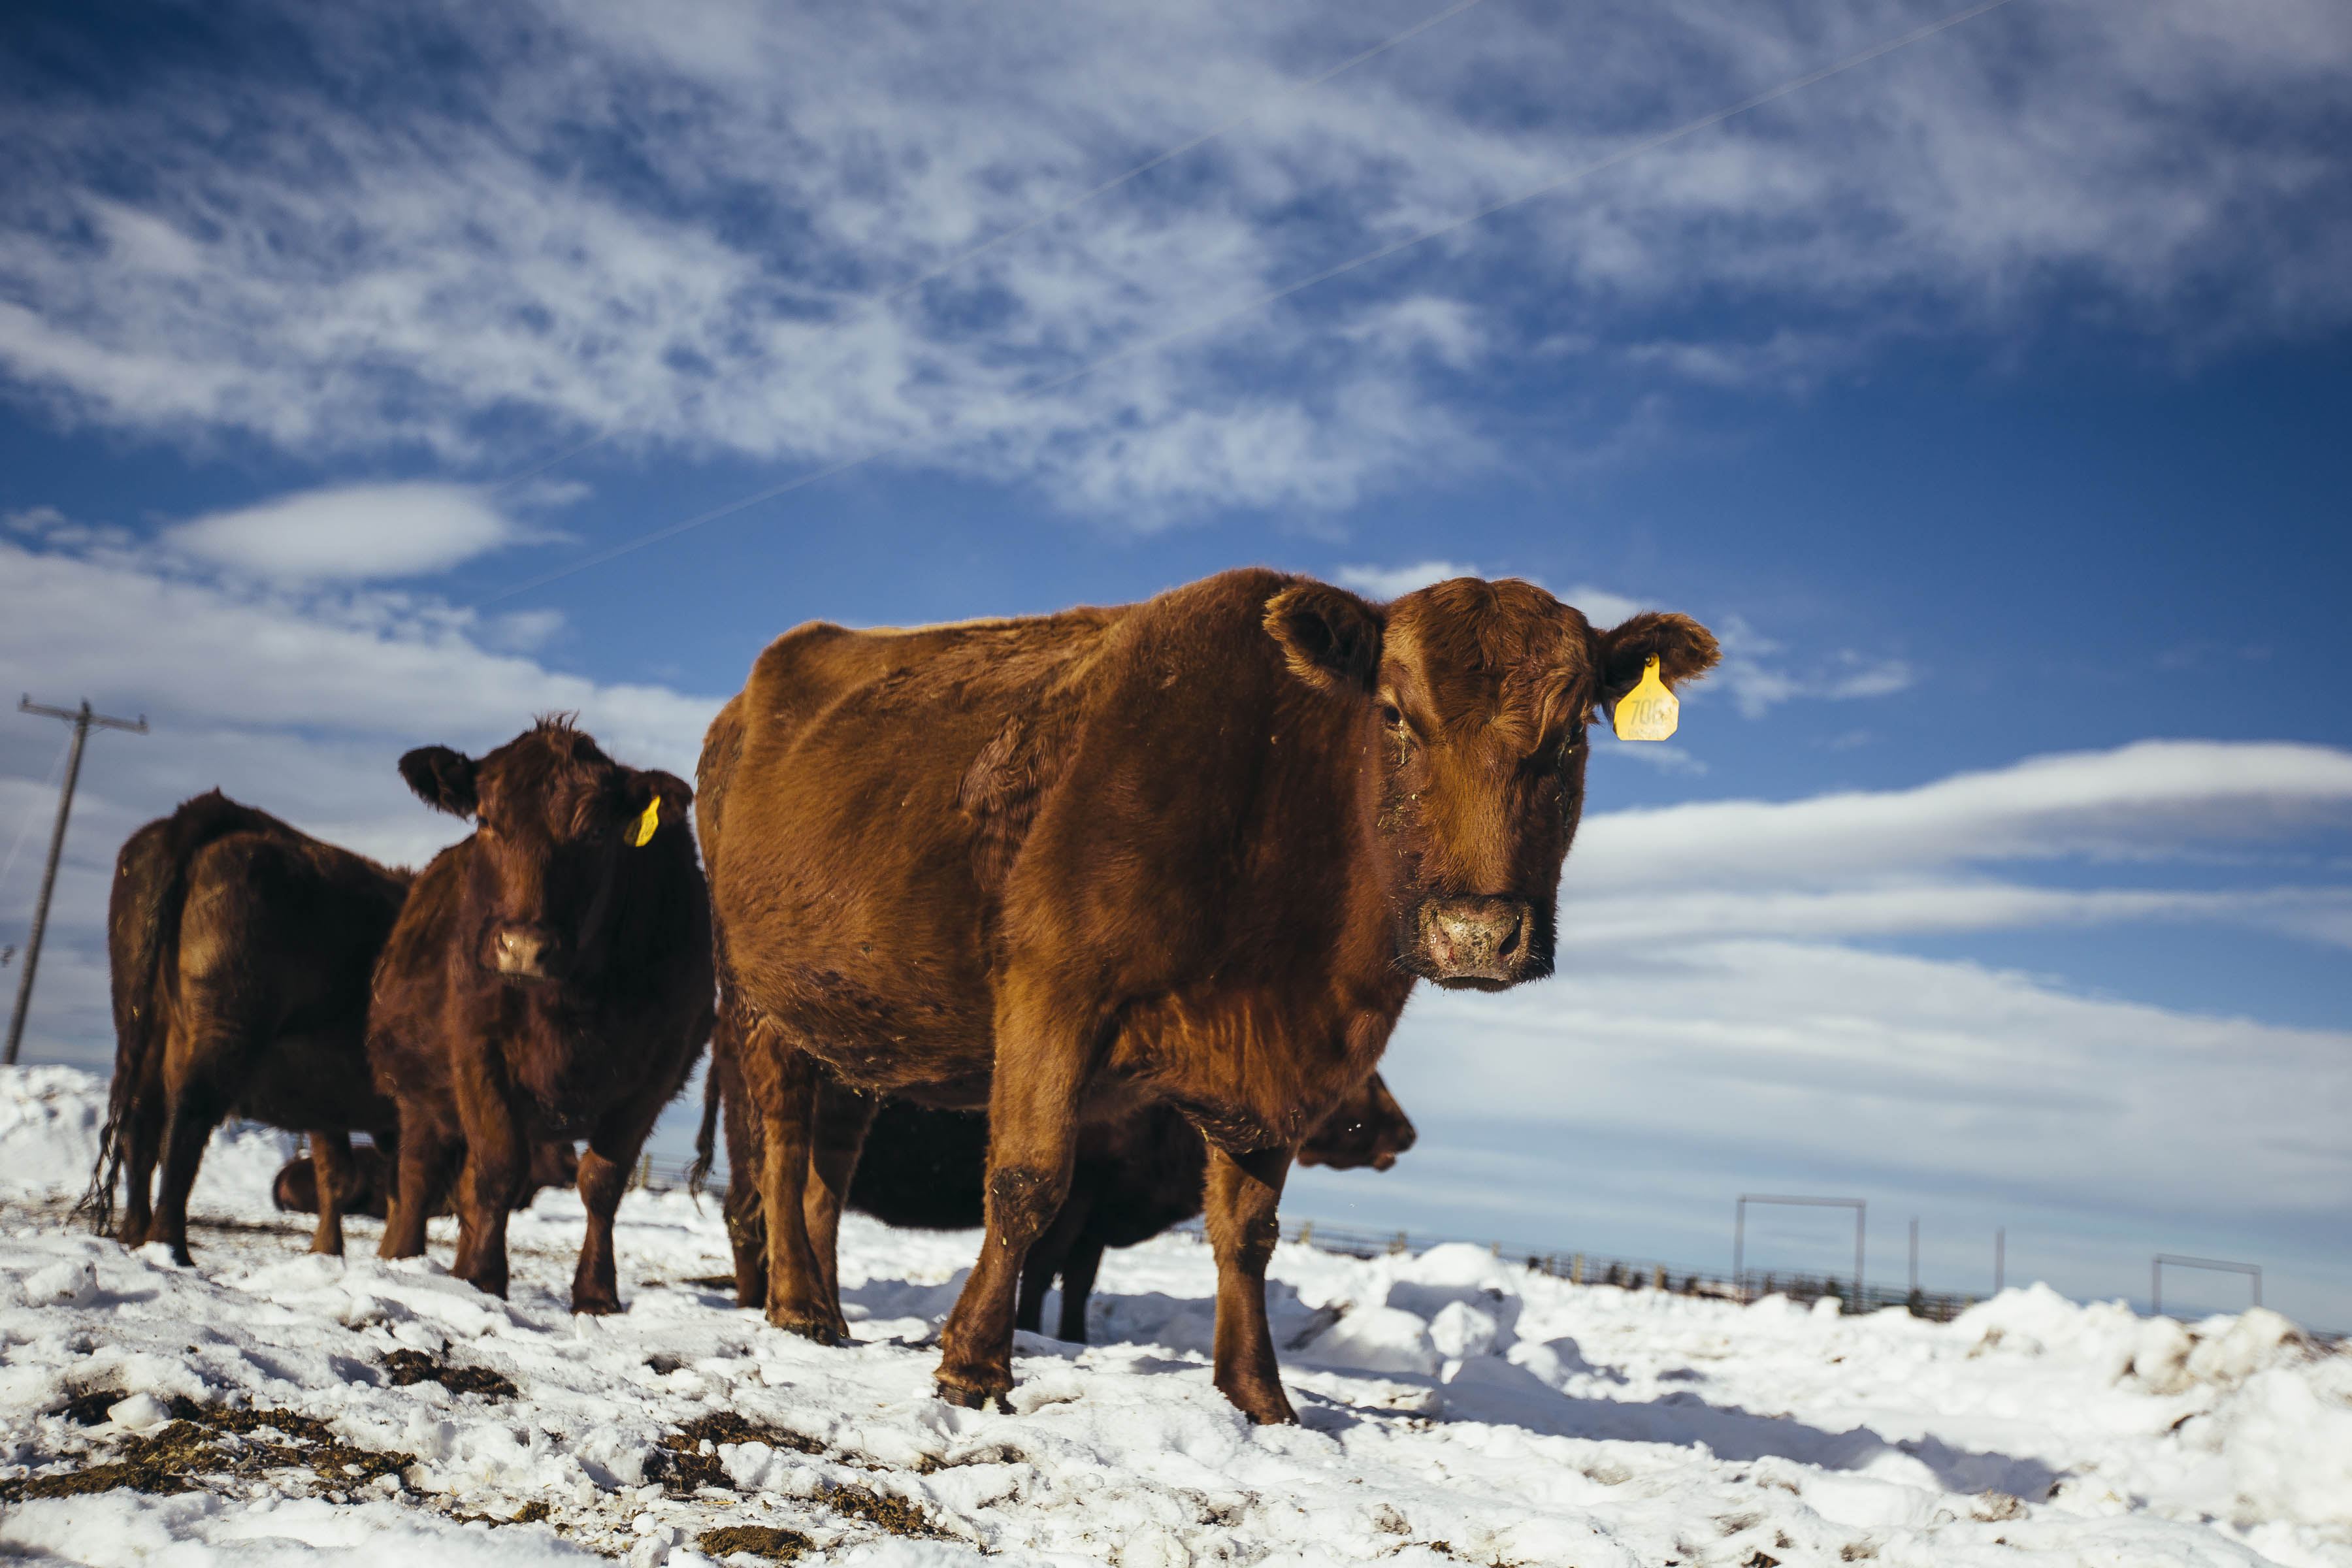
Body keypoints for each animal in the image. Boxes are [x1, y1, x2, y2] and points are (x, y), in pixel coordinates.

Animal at [86, 799, 409, 1260]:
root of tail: (210, 809)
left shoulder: (329, 1102)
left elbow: (343, 1176)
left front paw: (330, 1253)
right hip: (224, 1029)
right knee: (187, 1119)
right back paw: (169, 1245)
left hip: (140, 1022)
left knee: (142, 1123)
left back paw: (135, 1236)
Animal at [362, 719, 710, 1307]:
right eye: (486, 819)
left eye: (596, 832)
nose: (524, 947)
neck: (571, 1006)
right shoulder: (477, 1051)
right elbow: (500, 1169)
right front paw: (483, 1278)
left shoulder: (654, 1078)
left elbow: (602, 1182)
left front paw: (596, 1293)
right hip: (421, 1098)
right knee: (417, 1178)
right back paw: (402, 1260)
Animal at [696, 566, 1712, 1420]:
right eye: (1393, 715)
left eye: (1574, 731)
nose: (1476, 934)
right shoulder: (1053, 992)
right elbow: (1027, 1182)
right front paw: (975, 1364)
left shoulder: (1283, 1068)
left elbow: (1249, 1231)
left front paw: (1258, 1394)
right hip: (752, 1000)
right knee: (784, 1144)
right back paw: (798, 1304)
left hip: (858, 1025)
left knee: (832, 1161)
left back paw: (828, 1305)